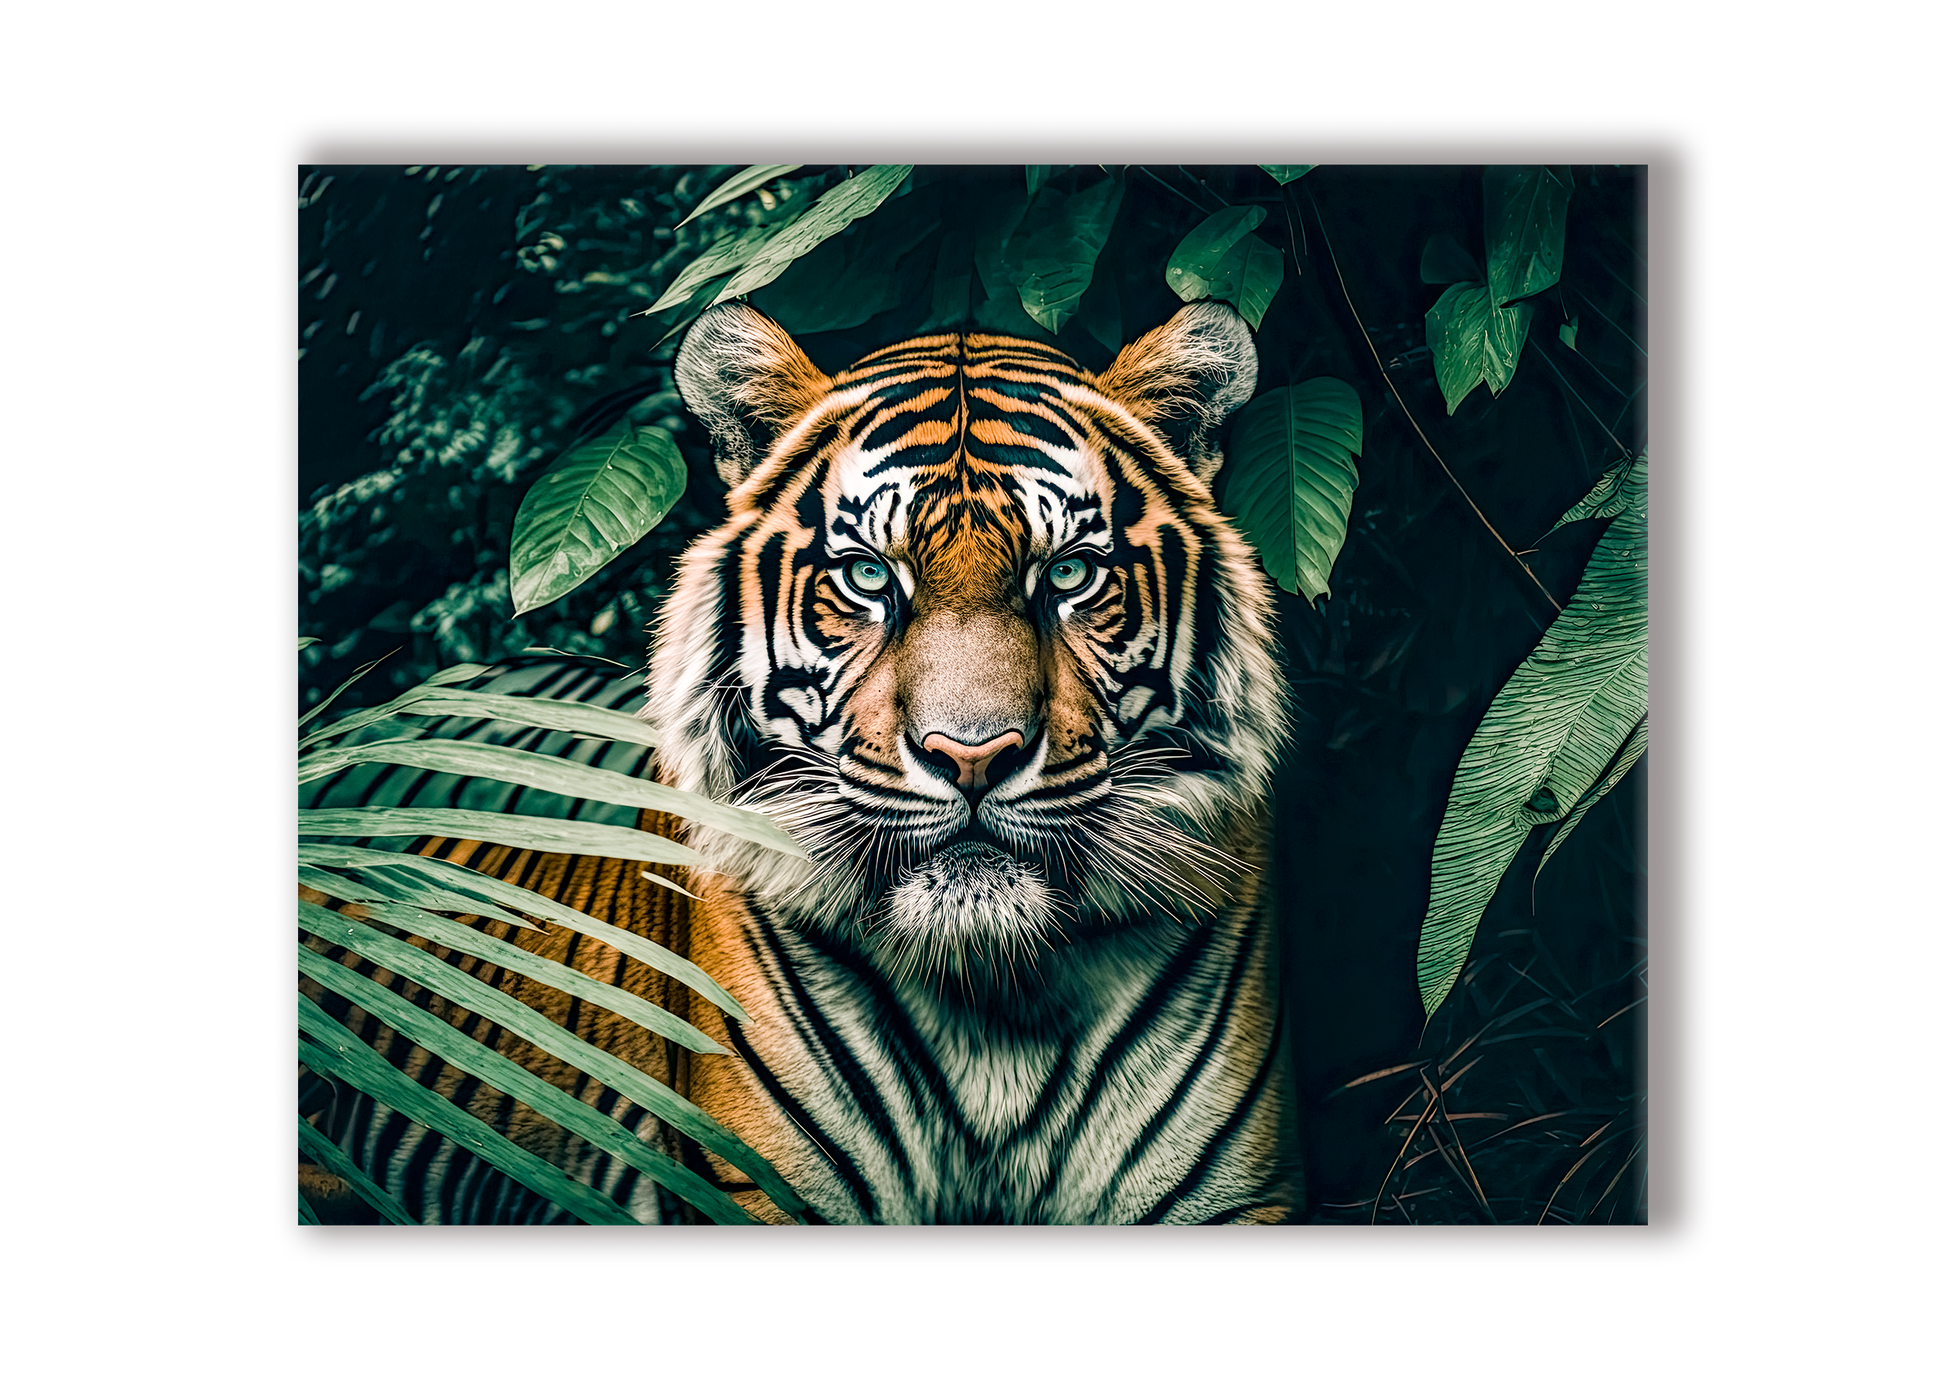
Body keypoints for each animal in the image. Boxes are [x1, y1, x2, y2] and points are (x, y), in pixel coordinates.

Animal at [299, 298, 1300, 1224]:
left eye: (1067, 574)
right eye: (867, 576)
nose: (973, 757)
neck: (997, 995)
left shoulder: (1231, 1199)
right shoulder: (765, 1188)